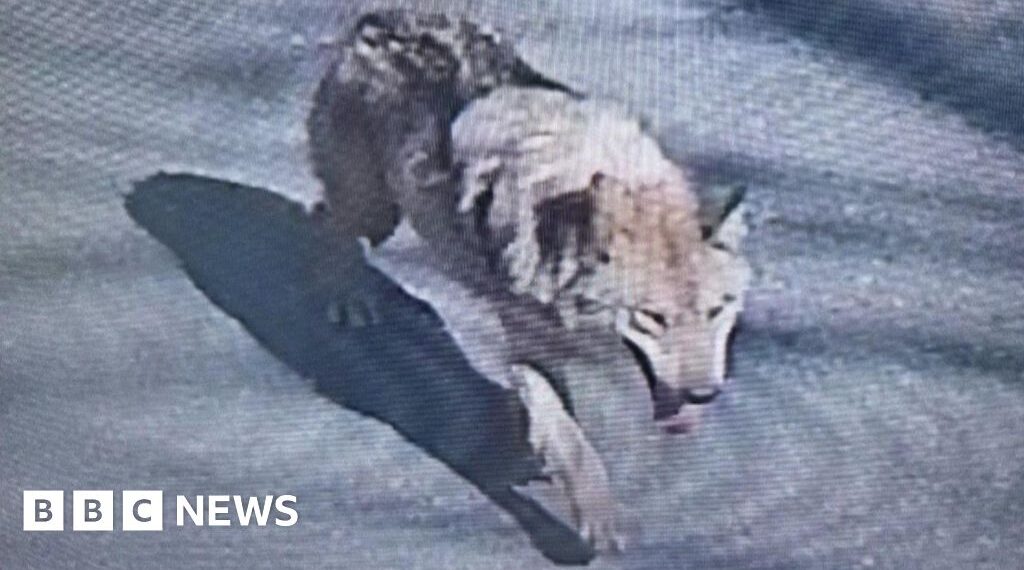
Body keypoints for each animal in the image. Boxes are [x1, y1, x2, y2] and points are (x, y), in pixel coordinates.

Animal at [309, 9, 750, 553]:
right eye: (653, 317)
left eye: (716, 311)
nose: (704, 395)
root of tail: (382, 18)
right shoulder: (527, 345)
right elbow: (572, 440)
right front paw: (596, 517)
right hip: (376, 213)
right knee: (326, 217)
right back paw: (346, 299)